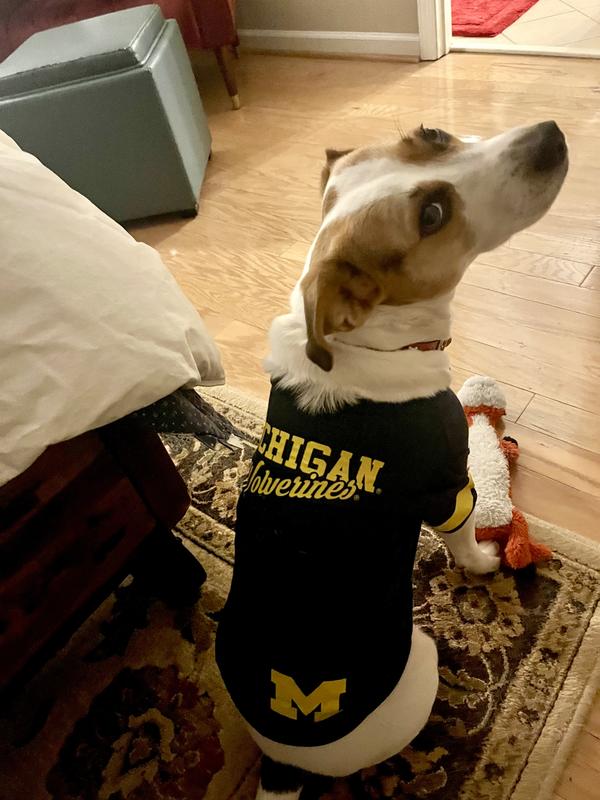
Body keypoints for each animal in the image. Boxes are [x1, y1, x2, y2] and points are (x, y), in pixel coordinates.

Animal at [215, 121, 568, 800]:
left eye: (431, 133)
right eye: (431, 215)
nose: (551, 135)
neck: (367, 340)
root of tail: (284, 764)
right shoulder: (449, 487)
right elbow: (467, 540)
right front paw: (486, 562)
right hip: (421, 661)